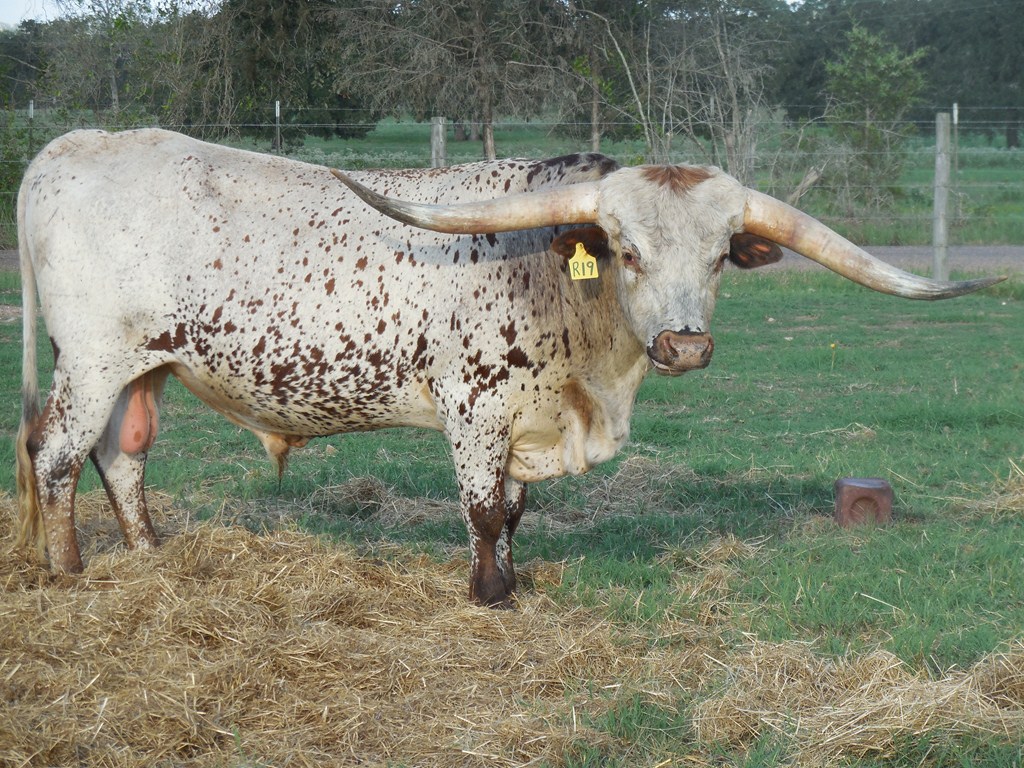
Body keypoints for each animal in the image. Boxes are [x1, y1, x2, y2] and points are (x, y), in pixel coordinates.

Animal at [14, 128, 1001, 607]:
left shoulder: (530, 416)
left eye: (722, 256)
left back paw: (148, 558)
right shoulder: (477, 410)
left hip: (143, 367)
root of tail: (68, 147)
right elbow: (486, 511)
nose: (685, 345)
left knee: (123, 458)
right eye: (627, 250)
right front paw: (490, 595)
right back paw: (68, 571)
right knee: (57, 455)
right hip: (93, 362)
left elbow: (520, 512)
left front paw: (515, 577)